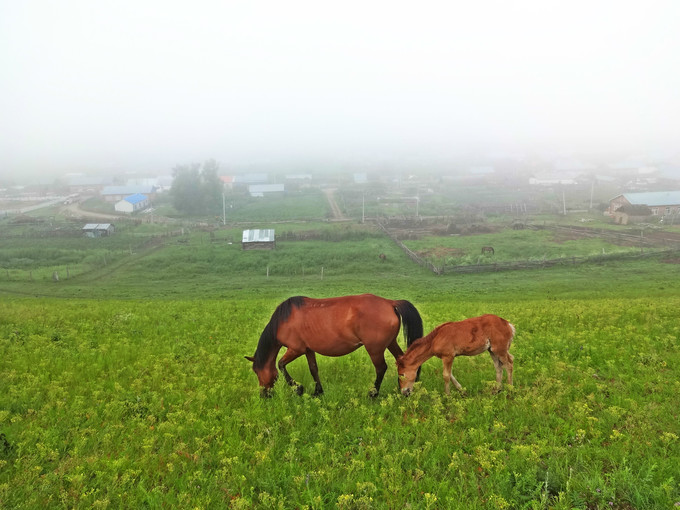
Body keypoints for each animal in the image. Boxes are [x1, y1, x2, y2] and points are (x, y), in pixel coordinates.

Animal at [247, 294, 422, 398]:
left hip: (375, 349)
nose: (264, 395)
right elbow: (313, 369)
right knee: (403, 361)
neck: (283, 320)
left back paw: (373, 393)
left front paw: (298, 388)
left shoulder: (296, 349)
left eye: (256, 371)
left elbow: (281, 364)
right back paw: (403, 387)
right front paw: (318, 392)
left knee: (381, 368)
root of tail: (389, 303)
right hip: (390, 343)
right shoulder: (308, 350)